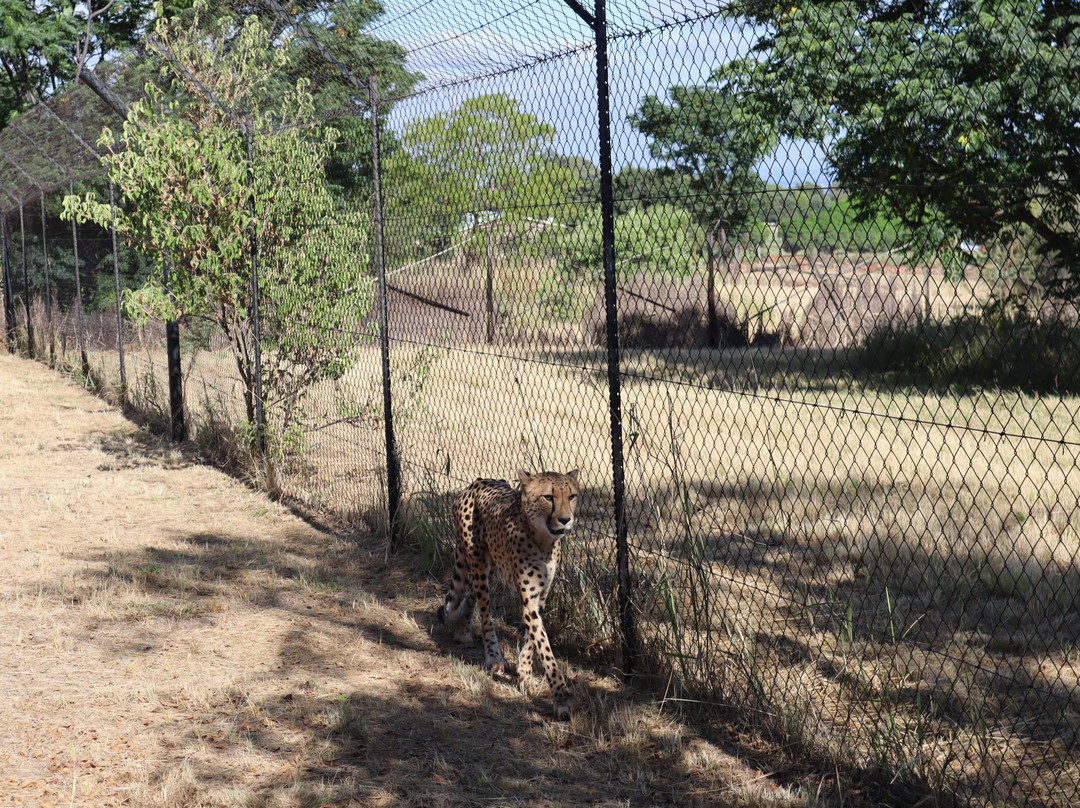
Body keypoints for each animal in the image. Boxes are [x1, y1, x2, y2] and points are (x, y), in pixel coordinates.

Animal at [437, 469, 580, 720]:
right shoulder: (529, 599)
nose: (565, 520)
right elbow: (544, 647)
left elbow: (533, 637)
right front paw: (562, 698)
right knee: (484, 611)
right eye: (548, 497)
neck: (544, 540)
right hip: (479, 564)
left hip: (490, 565)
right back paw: (494, 656)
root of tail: (477, 482)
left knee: (471, 594)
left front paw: (524, 670)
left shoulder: (540, 596)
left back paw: (462, 630)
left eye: (571, 496)